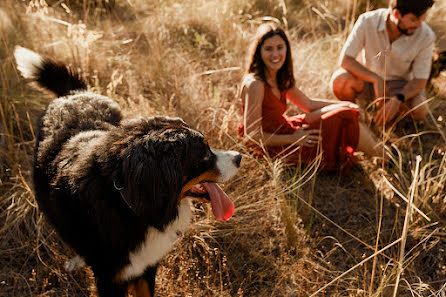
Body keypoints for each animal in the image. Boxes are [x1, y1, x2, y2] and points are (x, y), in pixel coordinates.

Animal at [13, 46, 242, 296]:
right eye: (204, 154)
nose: (239, 157)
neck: (129, 204)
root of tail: (74, 93)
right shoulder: (111, 278)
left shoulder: (147, 266)